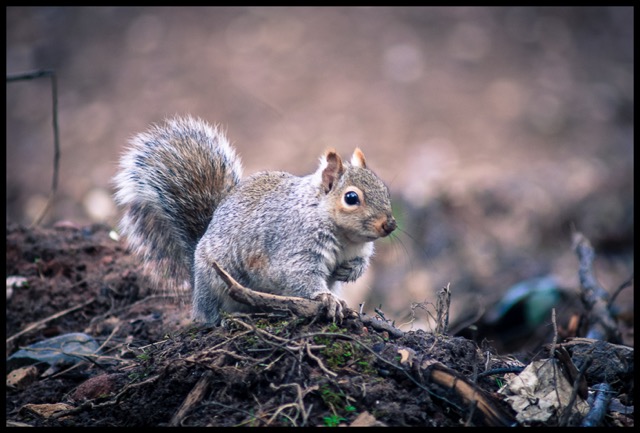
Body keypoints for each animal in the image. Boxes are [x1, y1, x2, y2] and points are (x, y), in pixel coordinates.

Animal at [113, 115, 396, 324]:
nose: (390, 225)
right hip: (215, 283)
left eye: (384, 189)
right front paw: (327, 299)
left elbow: (359, 264)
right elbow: (299, 275)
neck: (344, 236)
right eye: (351, 197)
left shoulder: (358, 249)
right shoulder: (294, 245)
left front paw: (349, 271)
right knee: (211, 313)